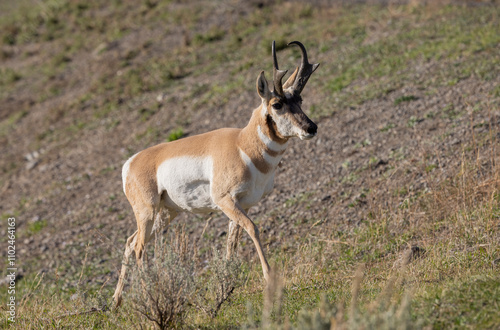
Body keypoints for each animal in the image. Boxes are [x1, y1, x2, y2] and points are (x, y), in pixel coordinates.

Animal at [113, 40, 318, 306]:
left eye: (300, 99)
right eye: (277, 104)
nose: (311, 127)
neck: (242, 144)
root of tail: (131, 162)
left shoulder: (242, 205)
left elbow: (233, 242)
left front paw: (226, 286)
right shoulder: (224, 201)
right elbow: (253, 229)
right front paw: (268, 277)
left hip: (166, 213)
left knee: (130, 242)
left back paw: (116, 302)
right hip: (147, 211)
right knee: (138, 247)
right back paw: (148, 296)